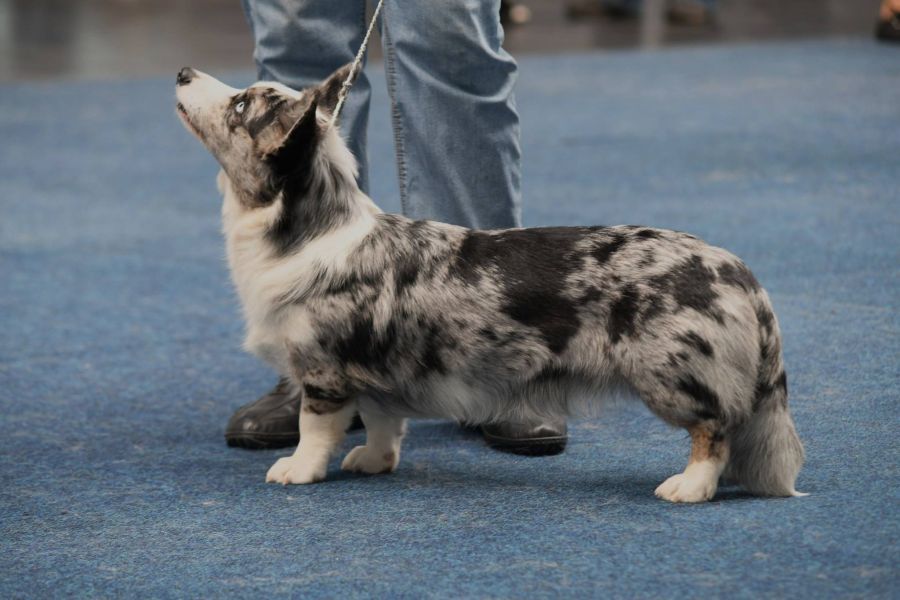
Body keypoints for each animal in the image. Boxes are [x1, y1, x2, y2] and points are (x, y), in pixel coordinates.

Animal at [175, 64, 804, 502]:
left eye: (240, 104)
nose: (181, 72)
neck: (305, 231)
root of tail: (741, 273)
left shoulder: (324, 368)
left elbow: (314, 427)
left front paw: (298, 471)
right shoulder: (374, 371)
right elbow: (382, 422)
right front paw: (373, 462)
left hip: (674, 374)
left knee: (714, 430)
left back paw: (688, 487)